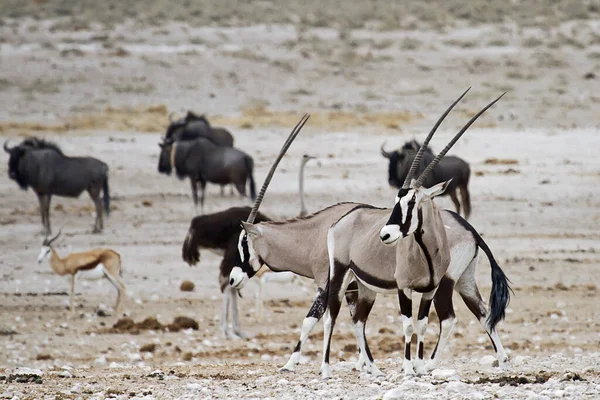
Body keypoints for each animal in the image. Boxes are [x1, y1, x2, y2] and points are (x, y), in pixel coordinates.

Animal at [322, 88, 508, 378]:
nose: (386, 235)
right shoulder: (404, 287)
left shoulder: (429, 289)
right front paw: (410, 367)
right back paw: (326, 370)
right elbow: (409, 324)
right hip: (341, 274)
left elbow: (422, 323)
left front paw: (418, 366)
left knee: (360, 320)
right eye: (396, 200)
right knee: (331, 316)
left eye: (412, 201)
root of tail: (342, 220)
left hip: (379, 285)